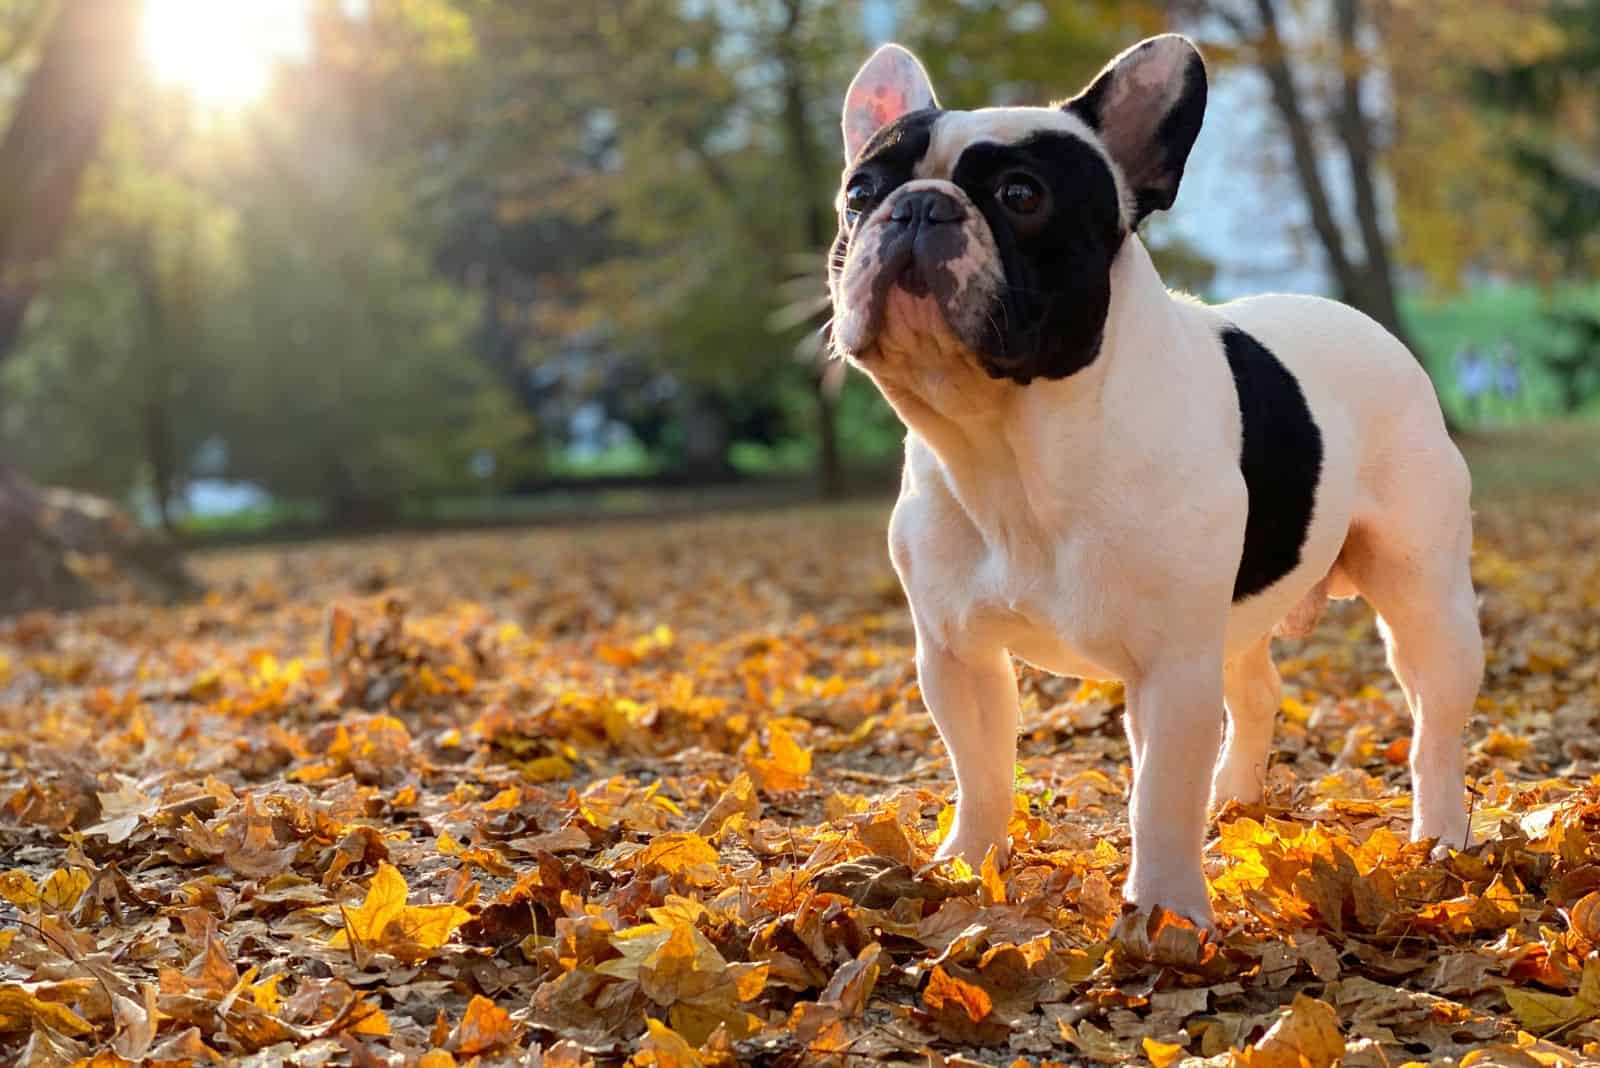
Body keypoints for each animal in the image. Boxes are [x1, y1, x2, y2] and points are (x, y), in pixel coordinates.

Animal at [832, 37, 1478, 927]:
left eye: (1021, 194)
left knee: (1433, 727)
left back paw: (1440, 839)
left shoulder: (1171, 665)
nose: (917, 207)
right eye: (859, 193)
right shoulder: (957, 655)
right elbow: (982, 769)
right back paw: (1235, 797)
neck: (1011, 447)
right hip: (1233, 618)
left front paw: (1166, 915)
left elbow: (1160, 794)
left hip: (1425, 601)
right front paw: (966, 866)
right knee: (1256, 691)